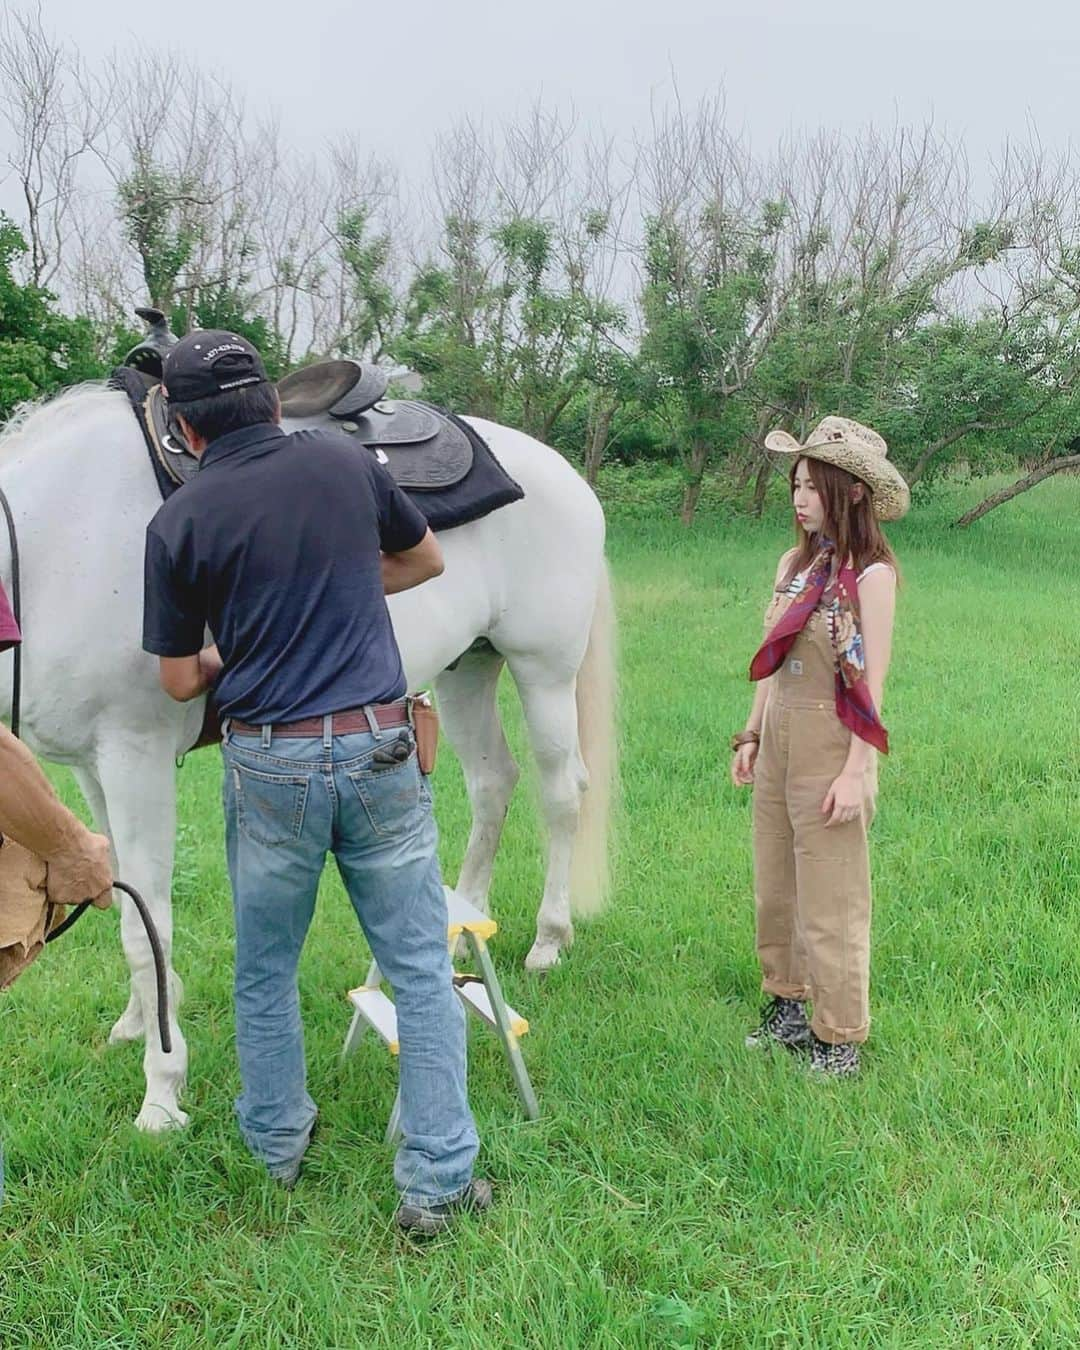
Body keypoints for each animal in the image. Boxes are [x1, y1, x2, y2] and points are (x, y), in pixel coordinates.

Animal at [0, 386, 612, 1134]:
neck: (52, 542)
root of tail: (564, 473)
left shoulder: (133, 754)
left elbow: (151, 925)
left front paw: (163, 1091)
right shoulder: (93, 768)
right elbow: (124, 907)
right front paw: (139, 1023)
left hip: (543, 670)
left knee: (561, 793)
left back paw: (550, 940)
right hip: (469, 668)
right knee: (494, 782)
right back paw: (463, 925)